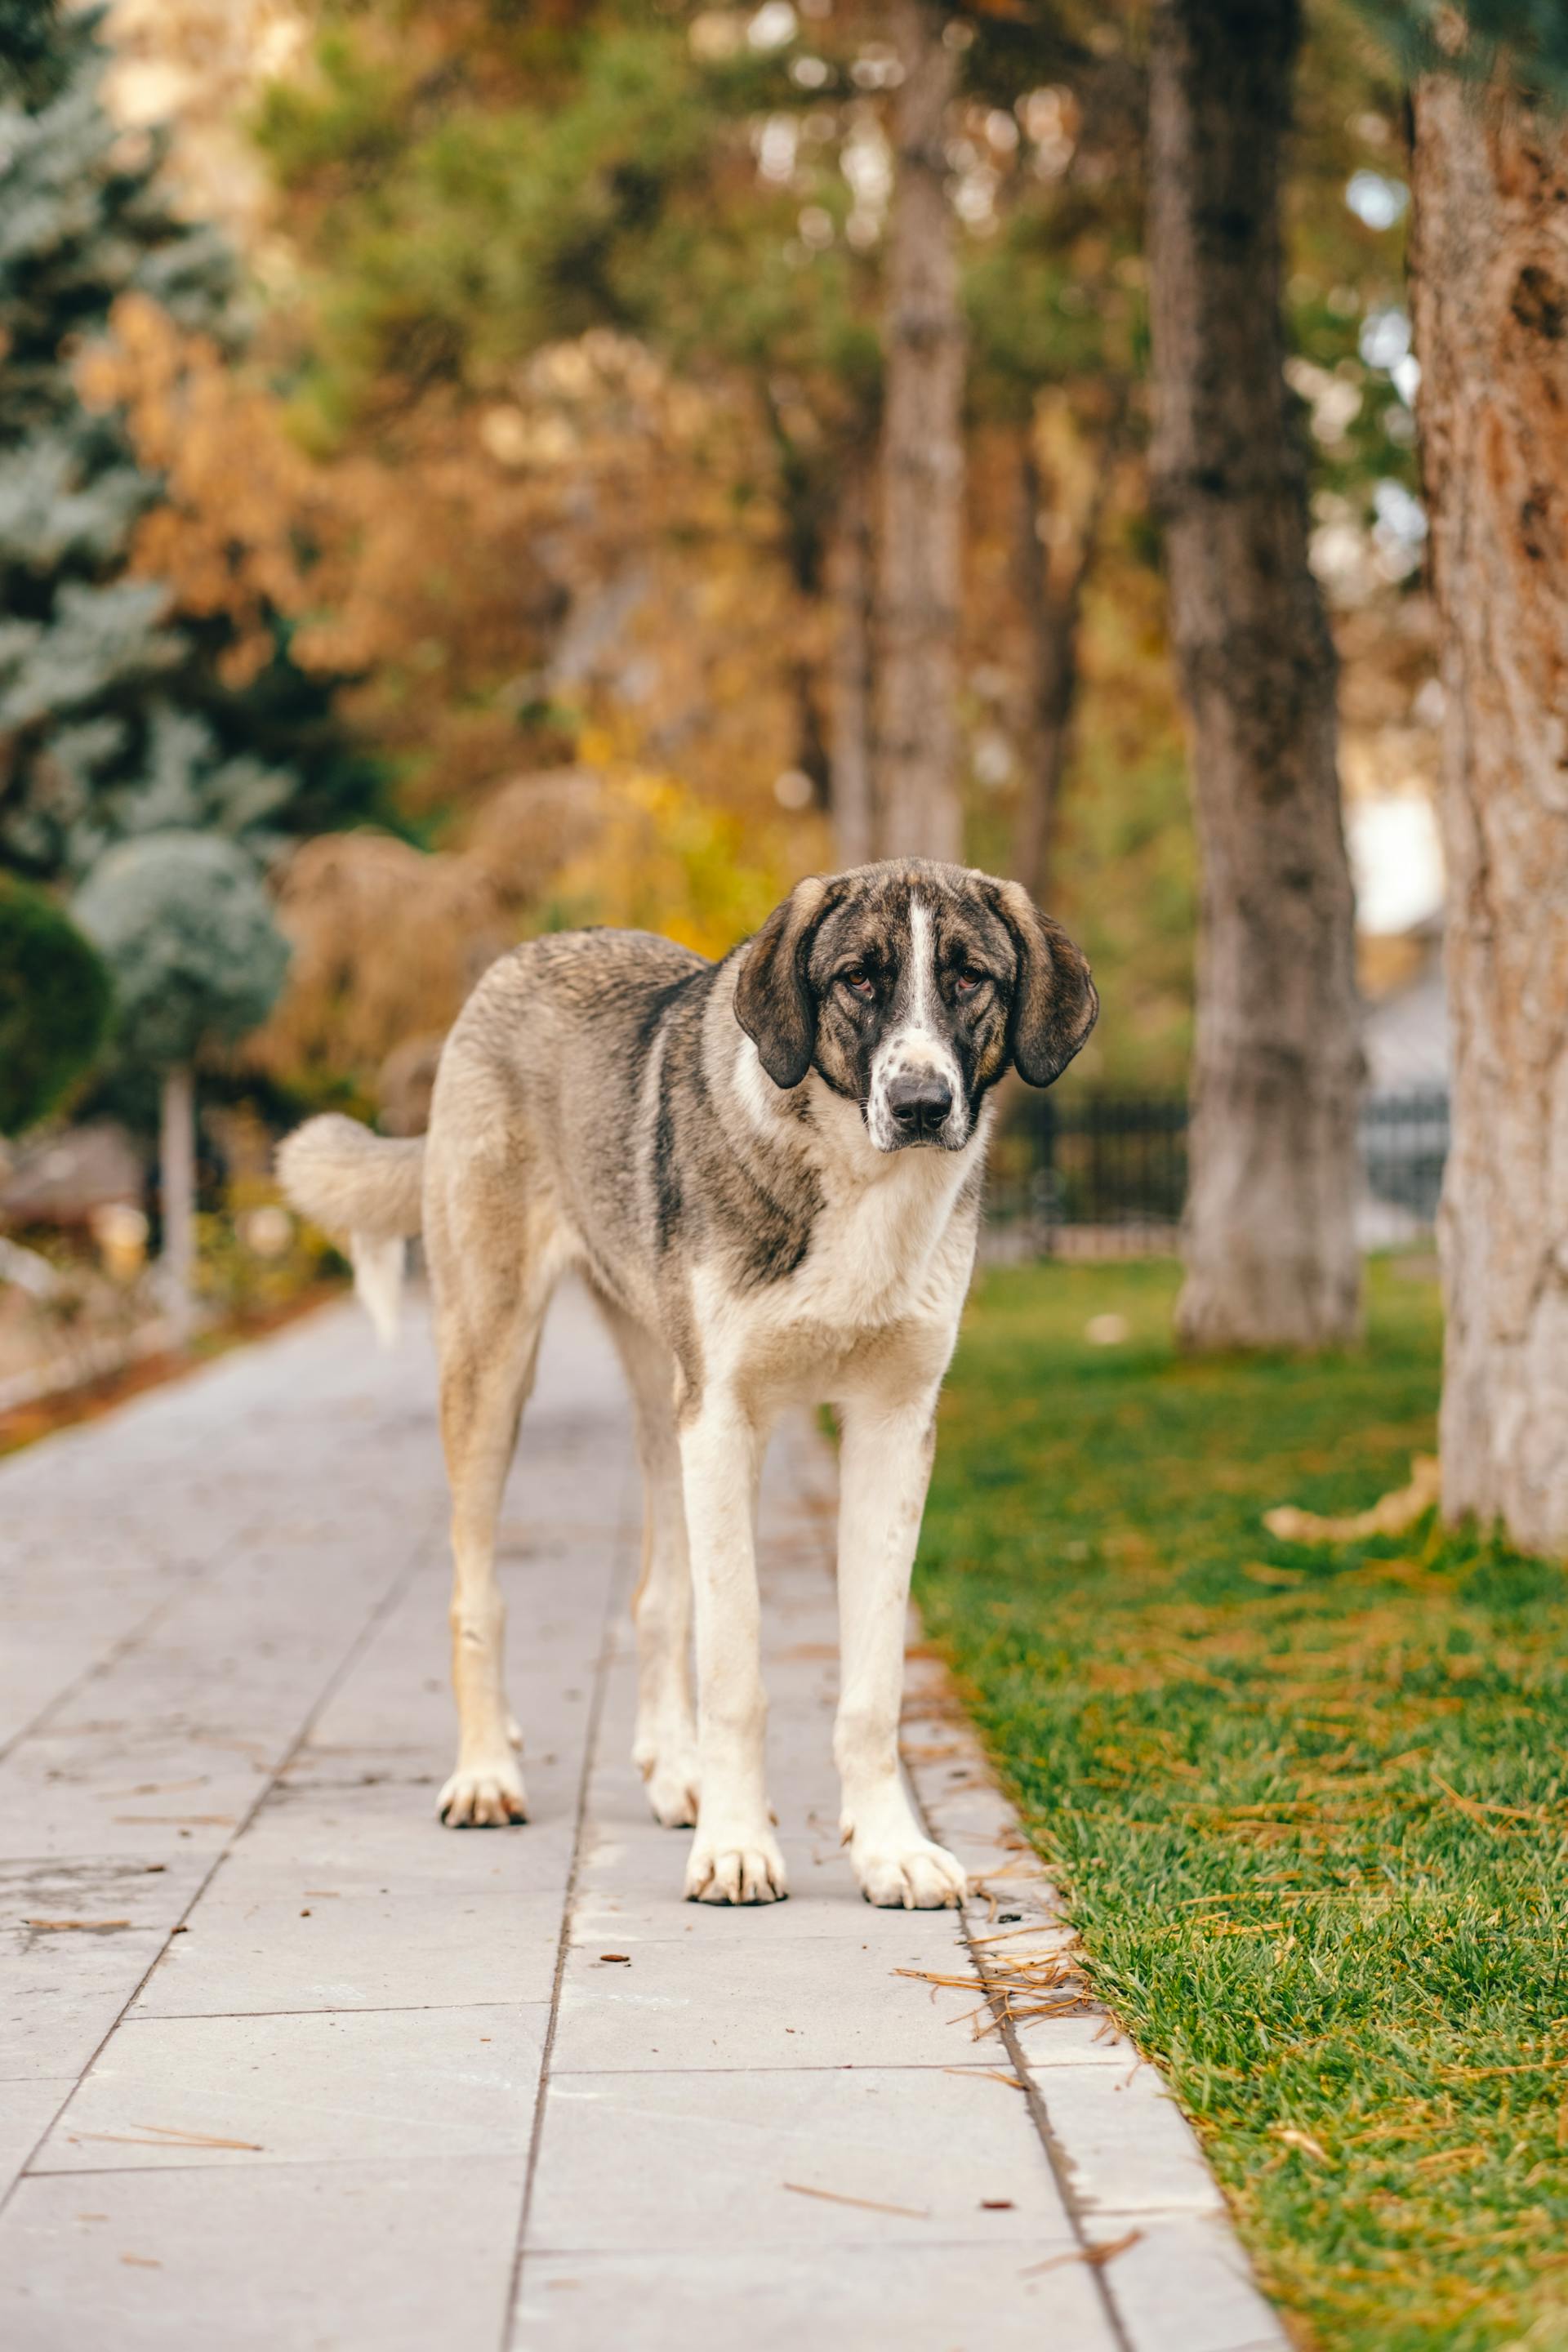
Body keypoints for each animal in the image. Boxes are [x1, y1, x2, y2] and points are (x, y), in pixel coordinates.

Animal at [276, 865, 1100, 1909]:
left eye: (968, 977)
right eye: (858, 980)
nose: (919, 1103)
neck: (855, 1182)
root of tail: (524, 956)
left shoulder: (890, 1426)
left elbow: (871, 1682)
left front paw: (888, 1848)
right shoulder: (724, 1420)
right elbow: (736, 1665)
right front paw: (737, 1848)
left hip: (664, 1408)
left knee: (657, 1598)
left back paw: (675, 1774)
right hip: (497, 1367)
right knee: (479, 1593)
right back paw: (487, 1774)